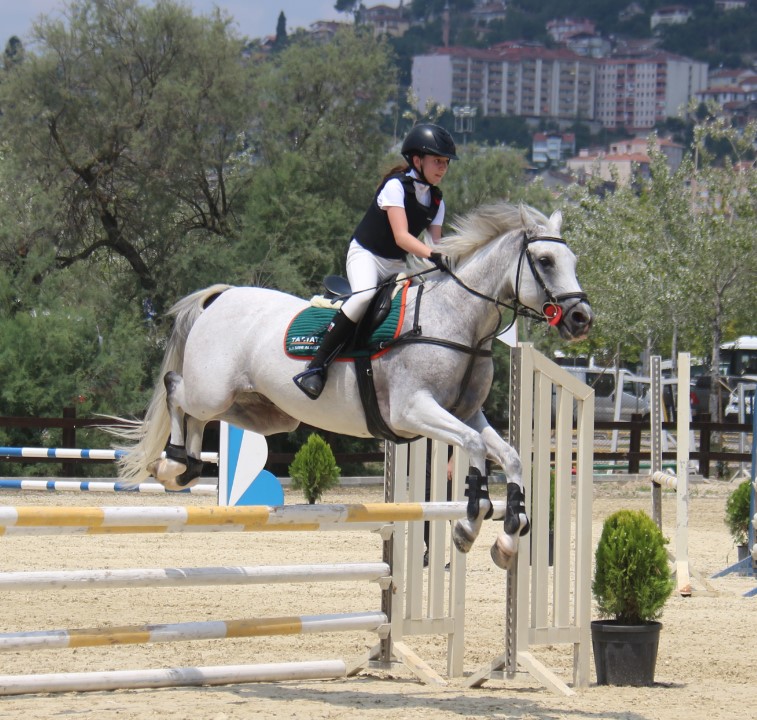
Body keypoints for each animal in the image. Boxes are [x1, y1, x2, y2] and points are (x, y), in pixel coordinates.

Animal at [116, 200, 592, 564]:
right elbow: (475, 449)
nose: (581, 319)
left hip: (265, 412)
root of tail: (223, 295)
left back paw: (185, 466)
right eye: (545, 261)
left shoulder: (467, 413)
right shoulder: (413, 410)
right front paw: (467, 525)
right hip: (212, 390)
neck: (458, 320)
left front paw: (509, 536)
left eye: (573, 261)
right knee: (176, 388)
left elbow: (510, 456)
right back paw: (172, 463)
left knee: (201, 414)